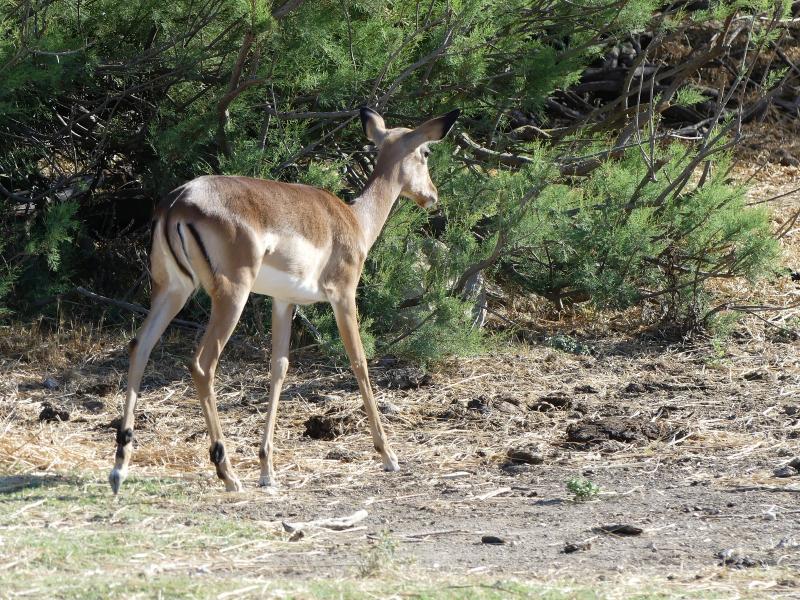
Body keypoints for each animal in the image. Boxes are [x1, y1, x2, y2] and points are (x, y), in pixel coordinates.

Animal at [109, 106, 460, 493]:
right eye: (426, 152)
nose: (432, 196)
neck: (355, 219)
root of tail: (177, 201)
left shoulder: (282, 302)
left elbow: (279, 368)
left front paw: (267, 470)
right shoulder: (343, 295)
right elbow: (359, 362)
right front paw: (389, 456)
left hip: (172, 289)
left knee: (139, 345)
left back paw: (120, 467)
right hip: (231, 294)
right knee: (202, 364)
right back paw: (227, 473)